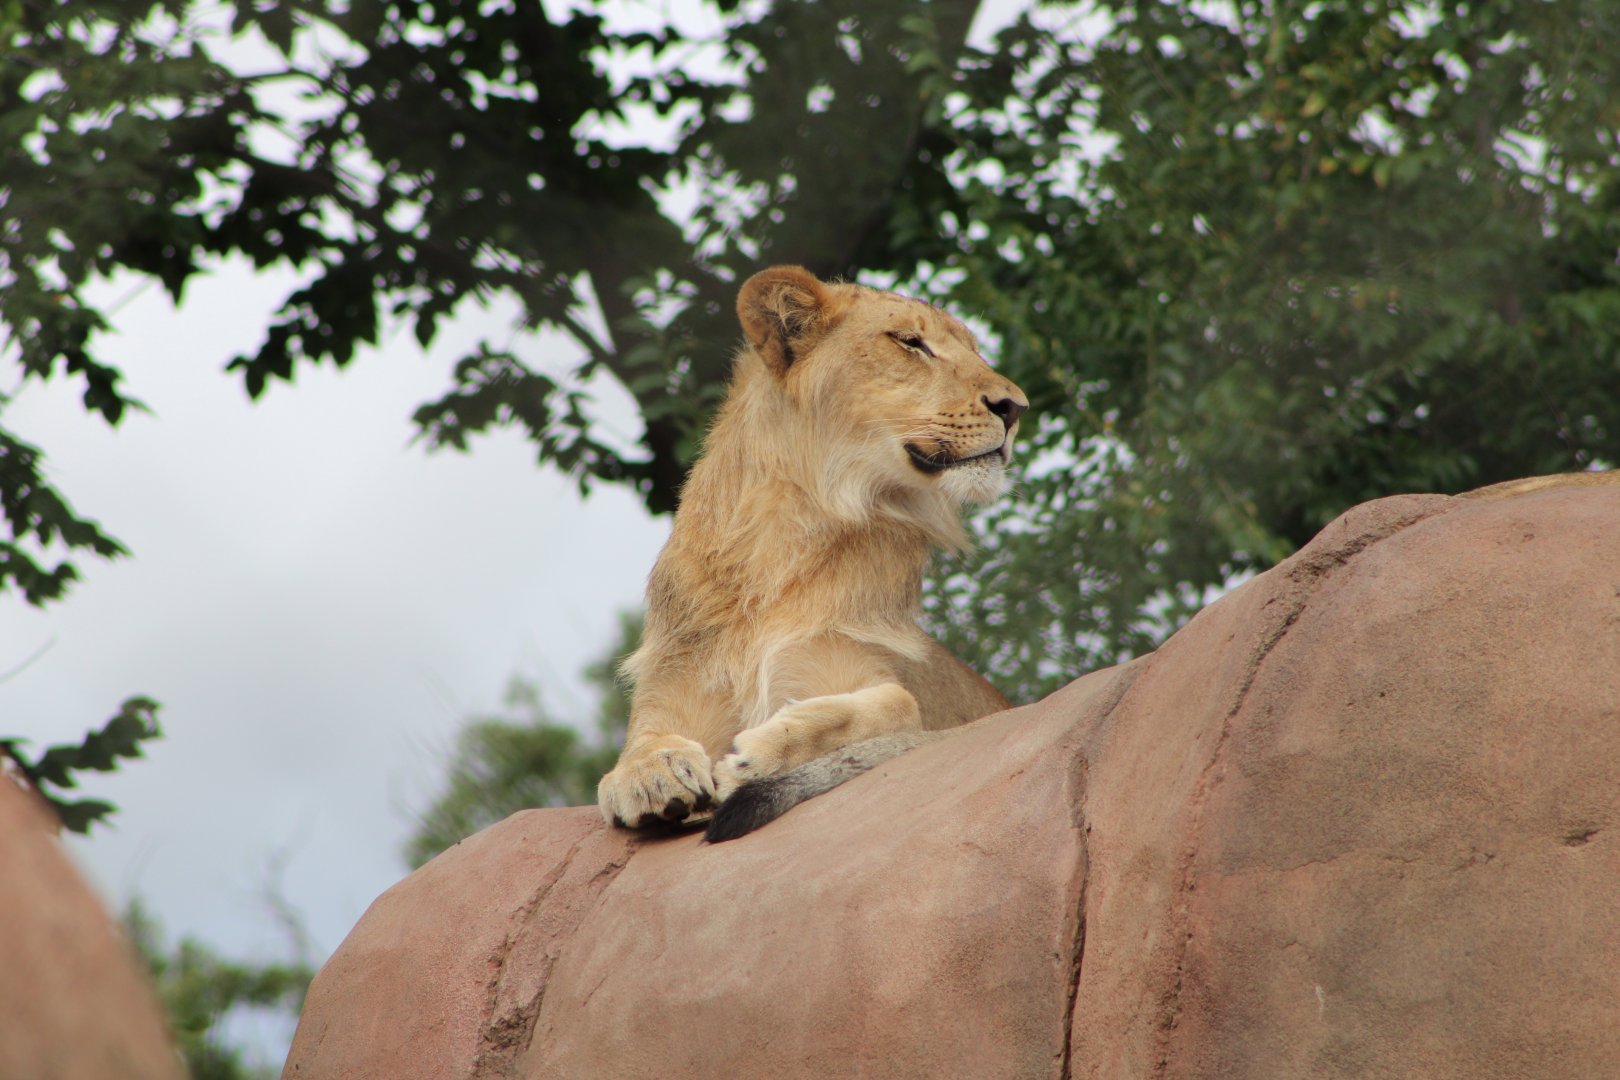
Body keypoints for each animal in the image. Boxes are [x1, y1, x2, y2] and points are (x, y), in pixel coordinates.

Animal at [596, 265, 1028, 839]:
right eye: (910, 343)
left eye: (976, 351)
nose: (1016, 407)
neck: (781, 541)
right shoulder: (675, 681)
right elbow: (633, 750)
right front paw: (653, 773)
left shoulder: (863, 669)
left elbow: (893, 704)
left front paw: (757, 754)